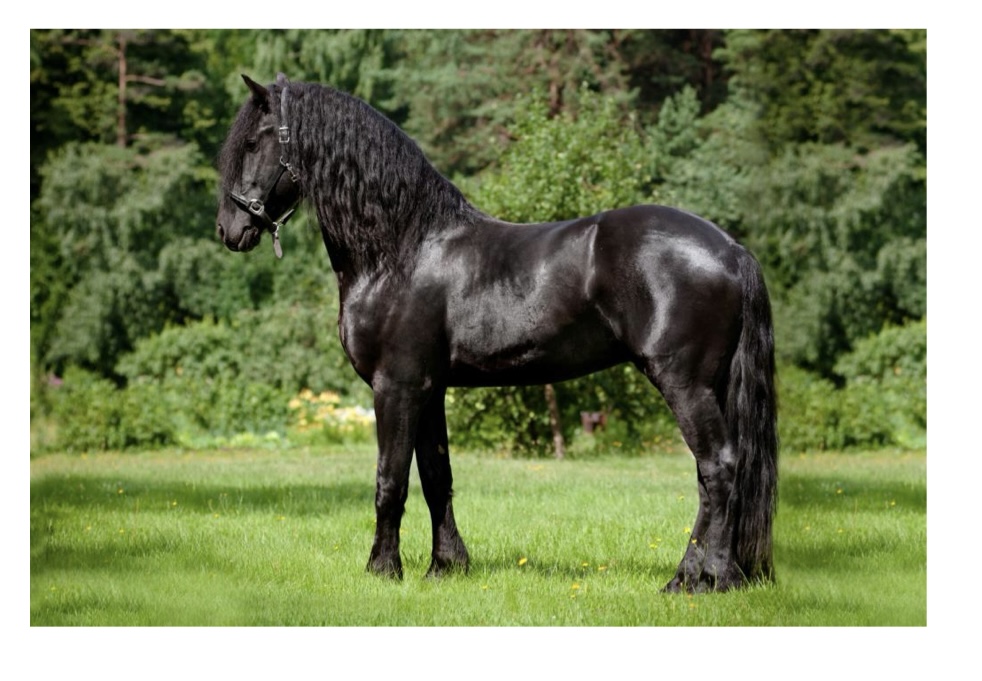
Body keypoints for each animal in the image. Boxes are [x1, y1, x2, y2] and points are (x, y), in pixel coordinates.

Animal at [216, 73, 778, 592]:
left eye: (253, 142)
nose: (228, 230)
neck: (402, 249)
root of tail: (731, 249)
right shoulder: (429, 389)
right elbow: (436, 478)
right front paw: (445, 567)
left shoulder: (395, 386)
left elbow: (390, 481)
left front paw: (382, 569)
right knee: (715, 473)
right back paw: (696, 578)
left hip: (685, 383)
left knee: (719, 467)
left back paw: (707, 578)